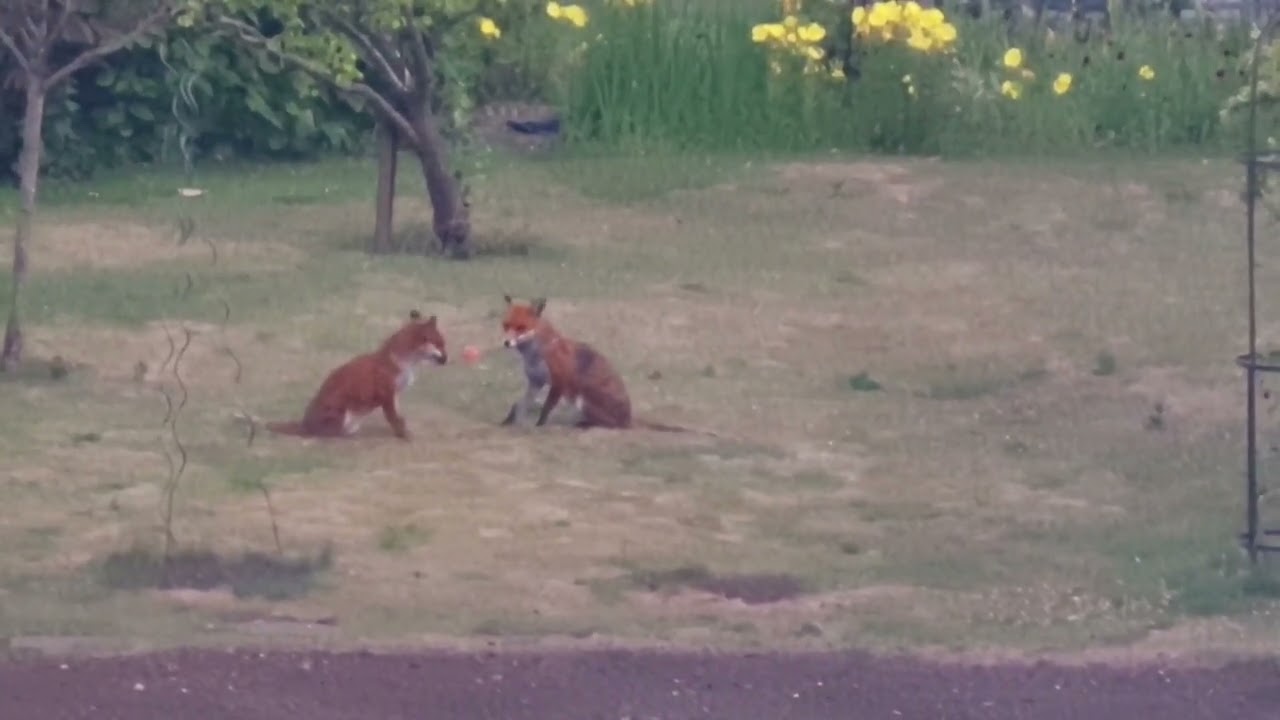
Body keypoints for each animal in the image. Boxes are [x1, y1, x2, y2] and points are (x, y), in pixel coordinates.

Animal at [261, 309, 448, 440]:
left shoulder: (395, 394)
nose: (447, 359)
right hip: (343, 414)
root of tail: (304, 424)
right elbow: (394, 419)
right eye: (440, 345)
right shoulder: (386, 394)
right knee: (331, 434)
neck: (404, 363)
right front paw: (403, 435)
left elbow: (399, 418)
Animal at [499, 294, 716, 436]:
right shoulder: (536, 381)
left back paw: (583, 424)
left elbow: (544, 410)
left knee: (609, 425)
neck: (536, 353)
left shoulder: (559, 382)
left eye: (521, 328)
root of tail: (628, 417)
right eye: (506, 325)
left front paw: (538, 426)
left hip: (583, 399)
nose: (506, 343)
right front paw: (510, 422)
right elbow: (519, 405)